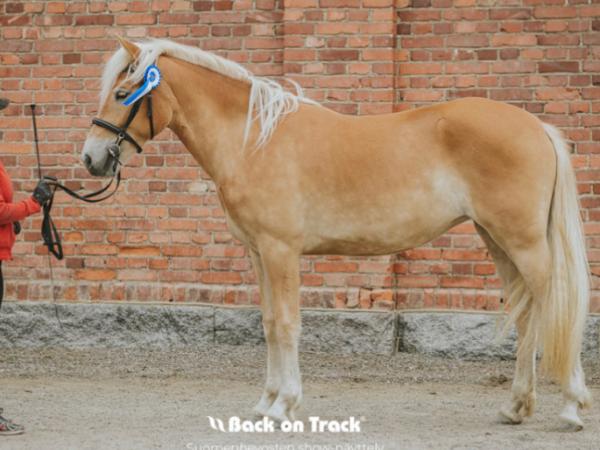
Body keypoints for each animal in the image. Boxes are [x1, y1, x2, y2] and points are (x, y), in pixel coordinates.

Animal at [82, 37, 591, 429]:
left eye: (124, 92)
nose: (92, 158)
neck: (254, 140)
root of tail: (537, 127)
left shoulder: (281, 251)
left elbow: (288, 324)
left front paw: (285, 406)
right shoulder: (258, 253)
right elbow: (269, 324)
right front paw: (266, 403)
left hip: (524, 242)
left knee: (558, 306)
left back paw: (571, 407)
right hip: (497, 240)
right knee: (528, 315)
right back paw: (515, 407)